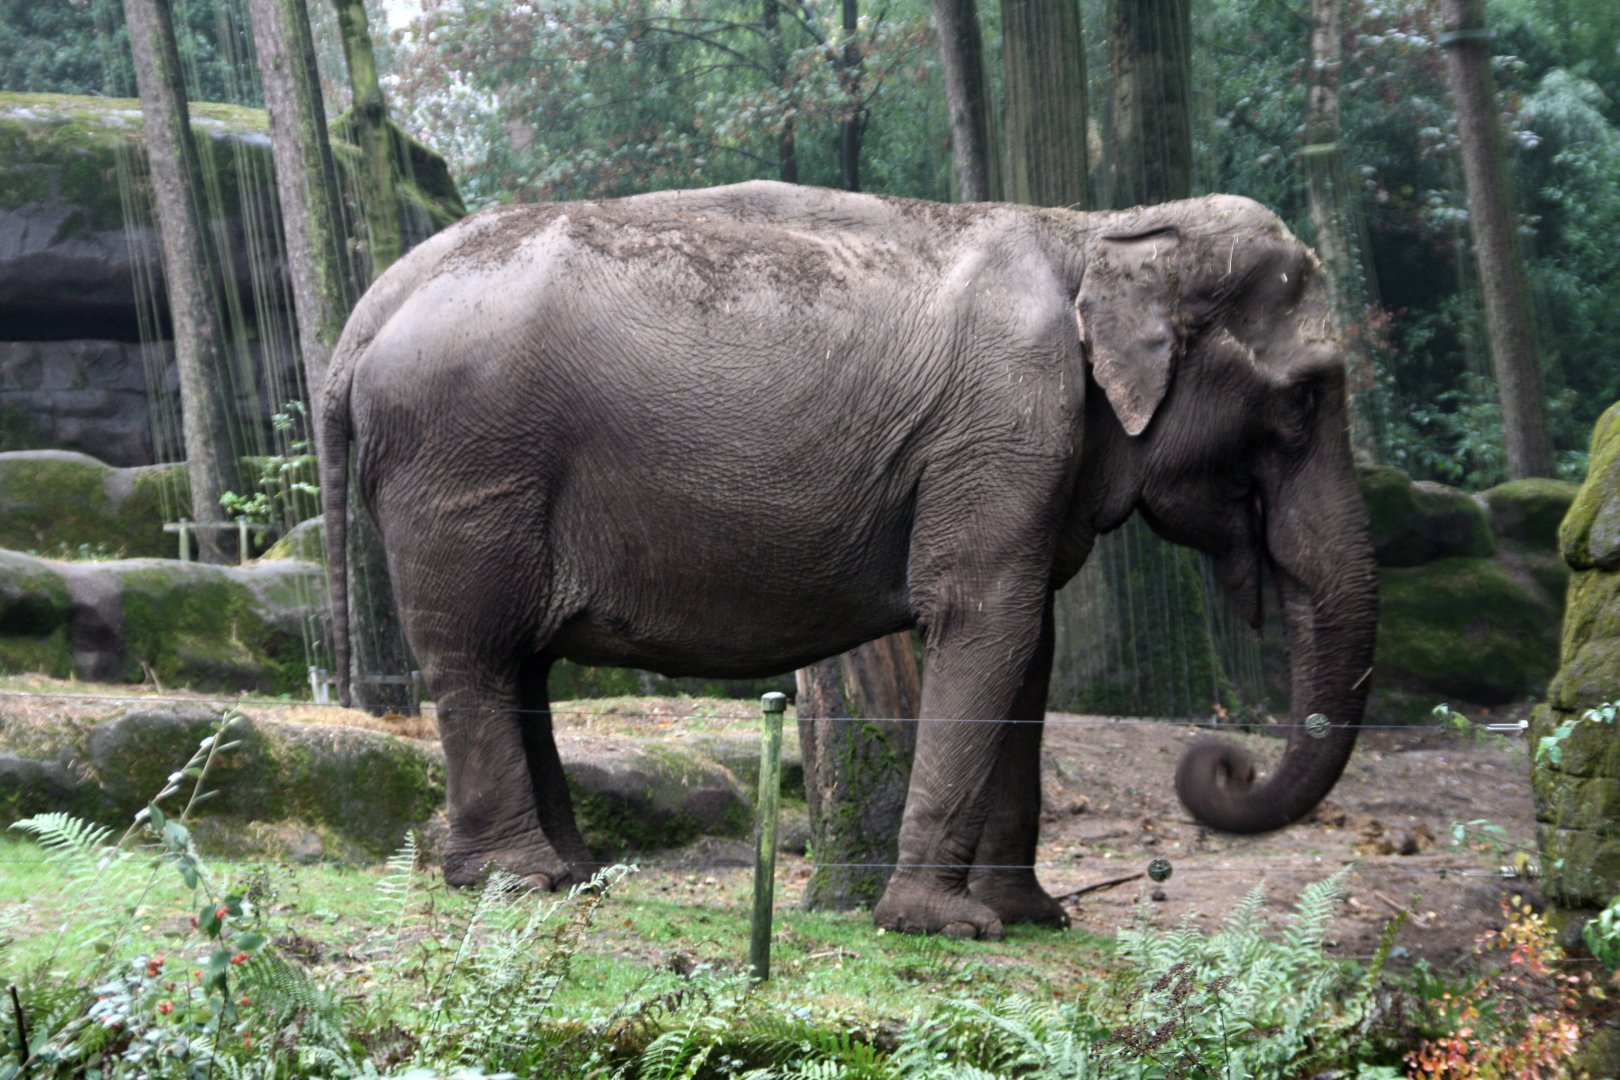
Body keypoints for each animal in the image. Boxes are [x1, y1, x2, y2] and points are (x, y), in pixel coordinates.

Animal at [320, 180, 1378, 940]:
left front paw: (1034, 918)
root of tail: (368, 308)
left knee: (522, 664)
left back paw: (574, 878)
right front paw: (946, 927)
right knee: (478, 655)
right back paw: (517, 879)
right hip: (463, 464)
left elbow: (1028, 650)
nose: (1224, 762)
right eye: (1307, 399)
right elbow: (985, 621)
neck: (1100, 232)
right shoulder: (1002, 428)